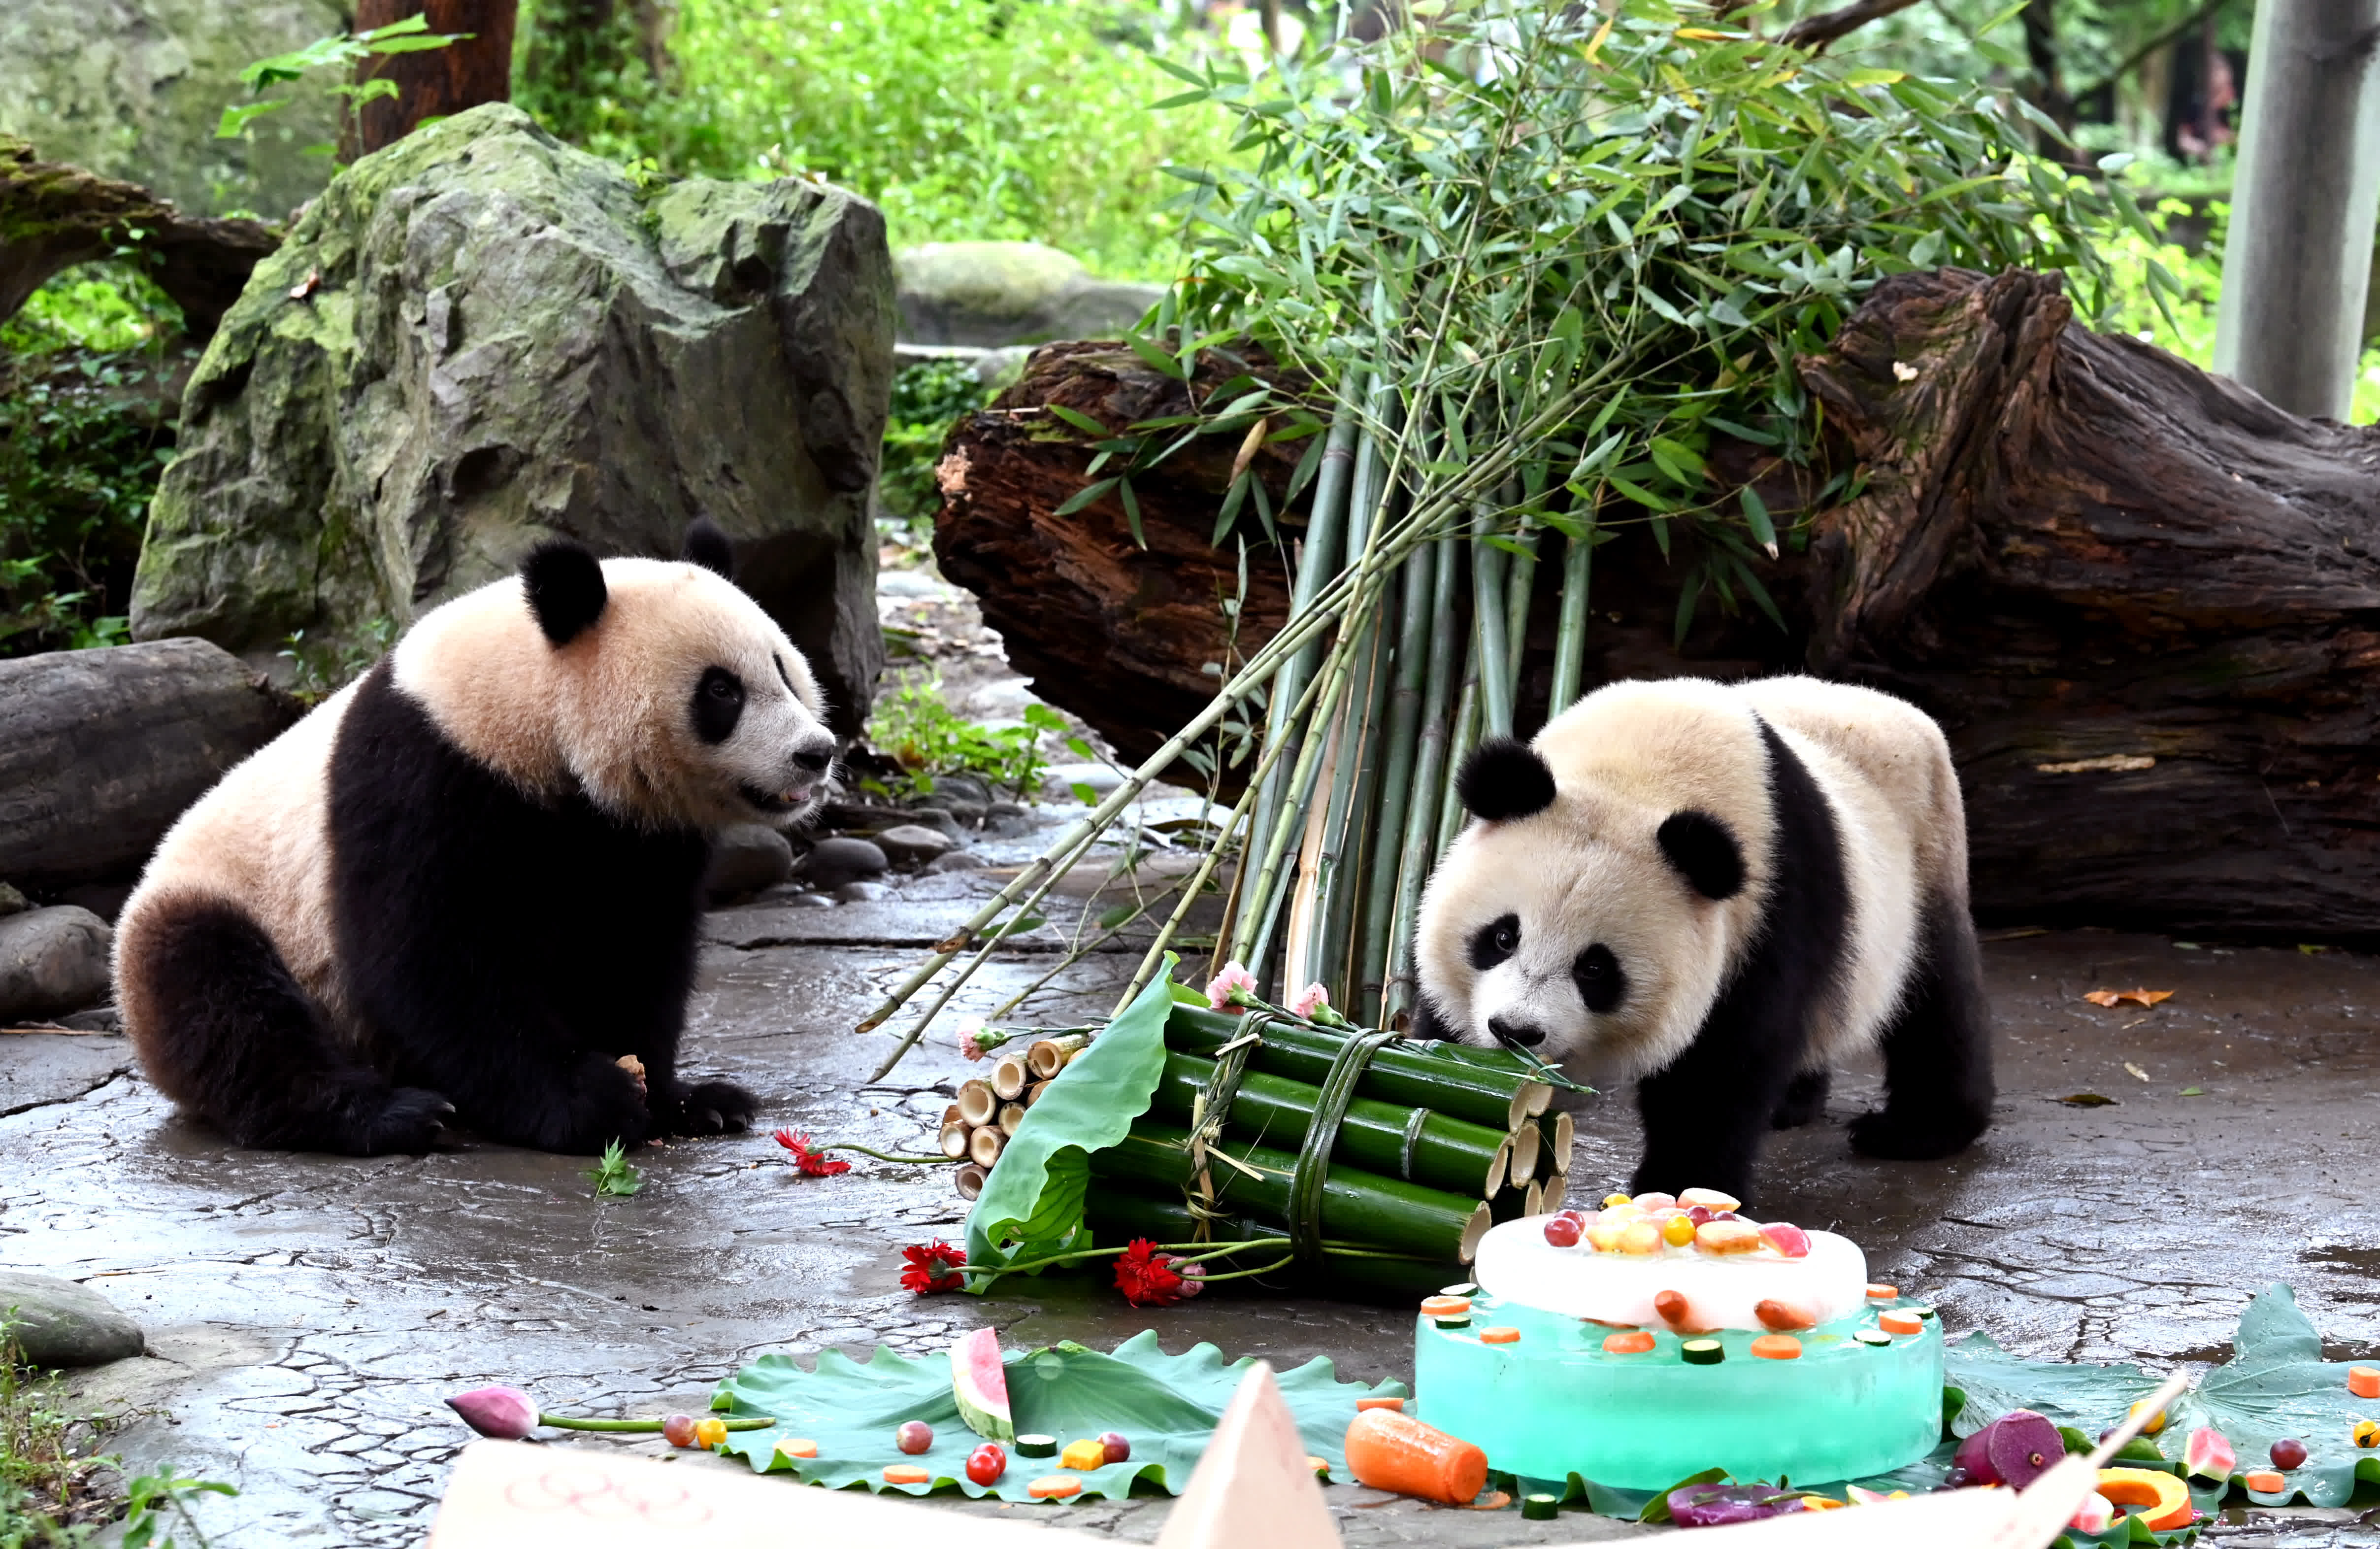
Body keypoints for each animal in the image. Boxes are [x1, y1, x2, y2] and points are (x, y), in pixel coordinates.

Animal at [113, 528, 837, 1156]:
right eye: (721, 690)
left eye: (782, 668)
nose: (816, 753)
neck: (525, 704)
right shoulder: (424, 776)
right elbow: (431, 963)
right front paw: (590, 1101)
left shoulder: (636, 835)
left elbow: (635, 949)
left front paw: (677, 1098)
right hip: (219, 906)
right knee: (226, 1004)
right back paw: (387, 1115)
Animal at [1409, 680, 1989, 1213]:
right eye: (1502, 936)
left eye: (1595, 969)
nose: (1516, 1032)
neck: (1637, 772)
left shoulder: (1767, 913)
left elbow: (1720, 1071)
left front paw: (1682, 1192)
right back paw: (1794, 1103)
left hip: (1923, 858)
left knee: (1935, 1000)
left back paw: (1916, 1131)